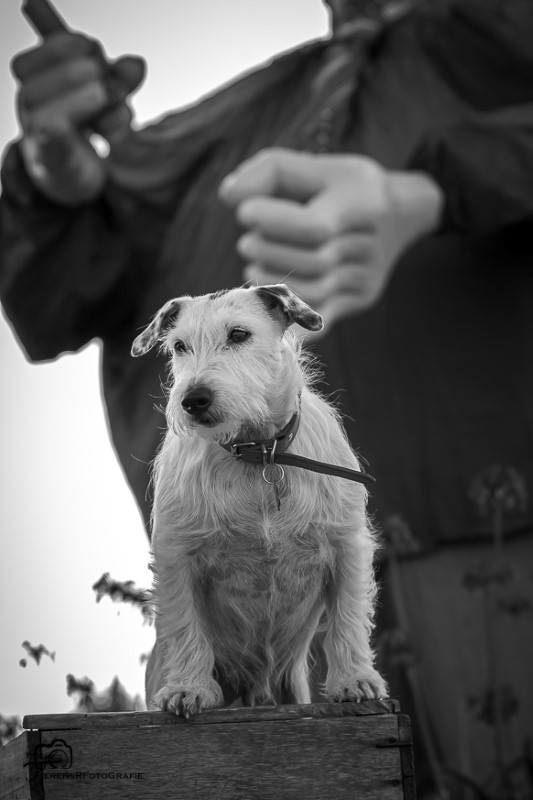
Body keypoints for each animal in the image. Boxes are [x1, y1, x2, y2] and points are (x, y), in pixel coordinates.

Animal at [132, 284, 387, 716]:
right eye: (180, 346)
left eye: (238, 335)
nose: (193, 399)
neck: (260, 455)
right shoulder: (176, 556)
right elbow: (185, 626)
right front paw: (188, 687)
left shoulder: (347, 545)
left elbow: (348, 620)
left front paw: (354, 680)